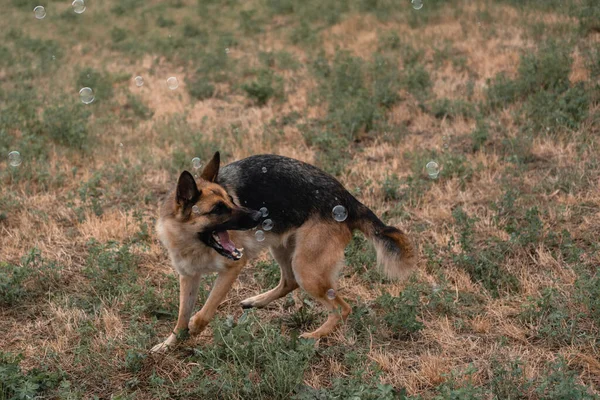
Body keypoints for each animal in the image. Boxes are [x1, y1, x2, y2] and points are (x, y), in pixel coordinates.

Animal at [150, 152, 414, 352]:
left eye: (231, 202)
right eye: (218, 209)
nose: (259, 215)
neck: (193, 240)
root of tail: (349, 201)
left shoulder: (233, 267)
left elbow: (205, 310)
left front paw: (195, 327)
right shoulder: (188, 276)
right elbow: (181, 316)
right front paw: (170, 343)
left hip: (306, 269)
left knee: (341, 308)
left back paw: (313, 337)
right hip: (282, 248)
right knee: (289, 281)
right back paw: (257, 301)